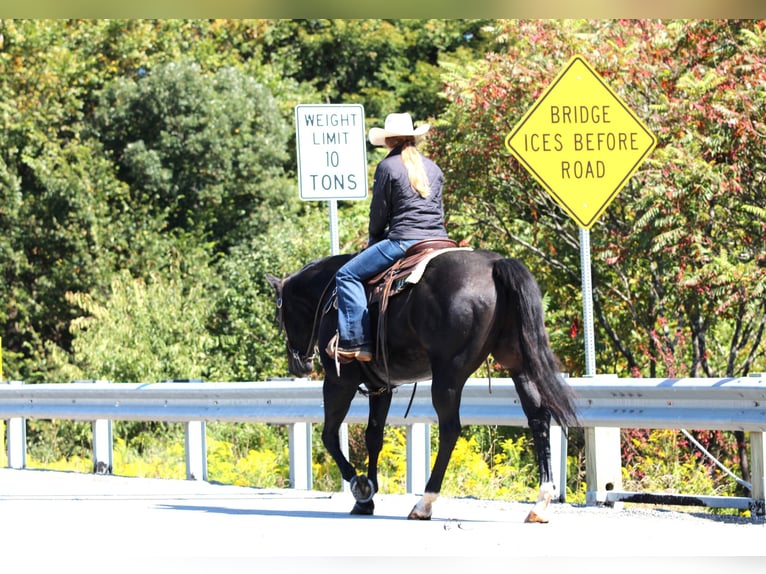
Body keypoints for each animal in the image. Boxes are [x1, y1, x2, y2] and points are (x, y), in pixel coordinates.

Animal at [266, 247, 579, 522]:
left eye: (280, 315)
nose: (299, 365)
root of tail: (494, 265)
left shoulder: (338, 381)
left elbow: (329, 436)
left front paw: (361, 486)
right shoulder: (382, 387)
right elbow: (373, 437)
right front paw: (366, 500)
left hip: (447, 376)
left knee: (450, 429)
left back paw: (424, 503)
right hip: (518, 365)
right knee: (538, 418)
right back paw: (540, 503)